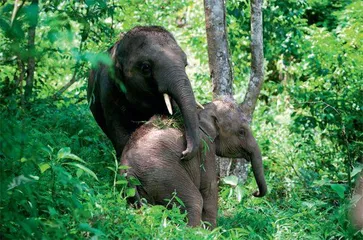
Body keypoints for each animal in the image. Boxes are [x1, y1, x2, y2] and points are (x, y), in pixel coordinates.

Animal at [121, 98, 266, 228]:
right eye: (241, 132)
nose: (255, 193)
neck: (203, 108)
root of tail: (129, 170)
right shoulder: (205, 147)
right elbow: (209, 187)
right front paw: (212, 232)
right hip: (164, 177)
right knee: (194, 201)